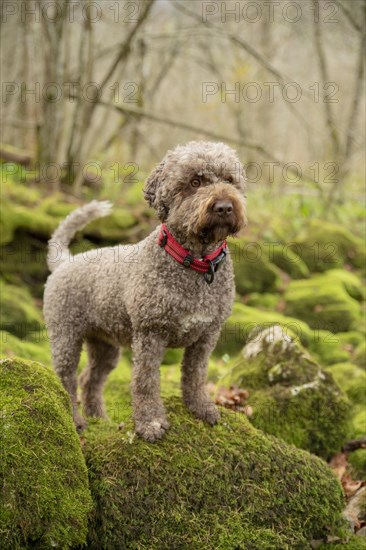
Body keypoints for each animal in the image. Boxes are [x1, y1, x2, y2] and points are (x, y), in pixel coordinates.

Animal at [44, 140, 247, 442]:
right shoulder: (151, 334)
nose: (224, 206)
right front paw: (150, 423)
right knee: (66, 379)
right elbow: (146, 382)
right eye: (195, 182)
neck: (195, 265)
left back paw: (99, 418)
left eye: (230, 180)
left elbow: (196, 375)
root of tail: (65, 261)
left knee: (90, 378)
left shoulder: (207, 336)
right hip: (66, 337)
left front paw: (200, 407)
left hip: (105, 345)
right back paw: (76, 420)